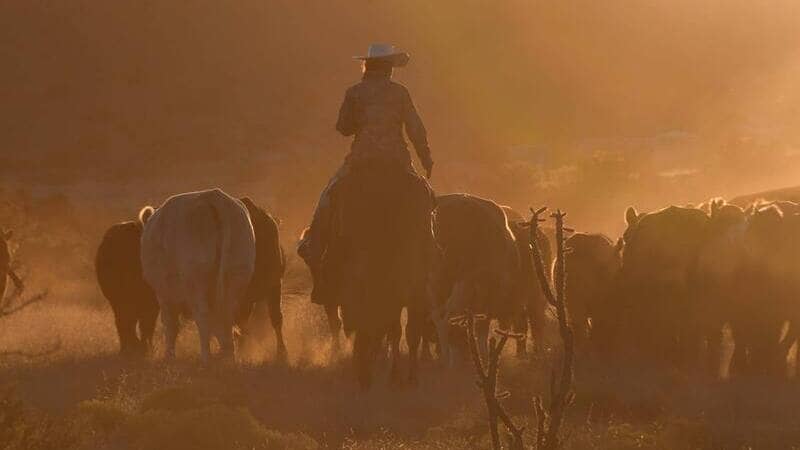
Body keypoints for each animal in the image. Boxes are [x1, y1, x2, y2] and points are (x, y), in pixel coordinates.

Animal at [139, 188, 255, 364]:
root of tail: (211, 196)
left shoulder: (164, 294)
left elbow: (170, 325)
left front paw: (169, 356)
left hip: (196, 282)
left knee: (203, 317)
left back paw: (206, 357)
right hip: (235, 277)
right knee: (225, 317)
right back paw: (229, 357)